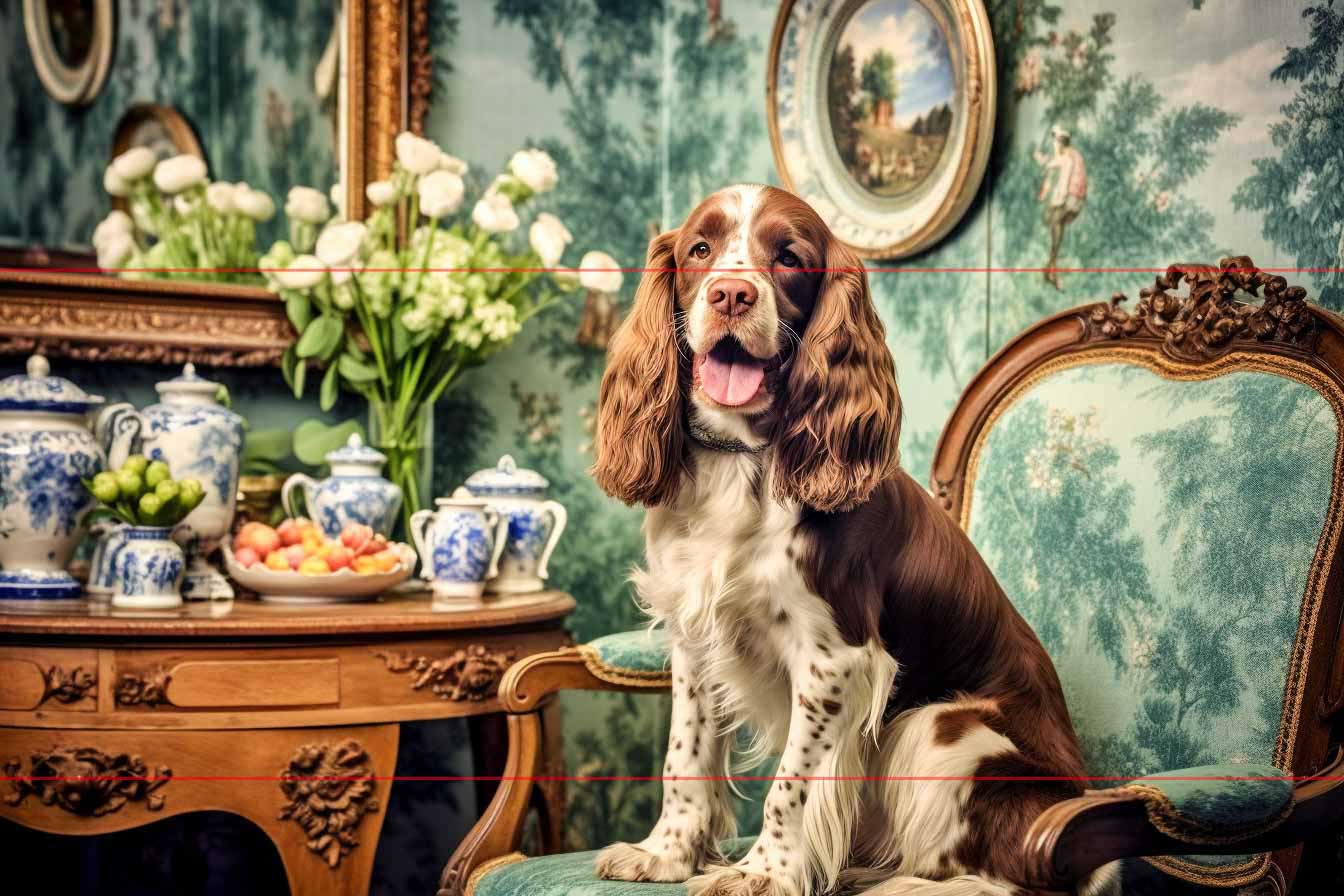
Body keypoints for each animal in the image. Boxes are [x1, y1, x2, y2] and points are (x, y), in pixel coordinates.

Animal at [591, 184, 1102, 896]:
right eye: (699, 248)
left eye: (789, 257)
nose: (730, 295)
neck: (741, 463)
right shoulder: (693, 636)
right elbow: (683, 755)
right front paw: (665, 853)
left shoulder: (836, 657)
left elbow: (791, 786)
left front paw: (763, 872)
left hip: (946, 725)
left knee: (1005, 873)